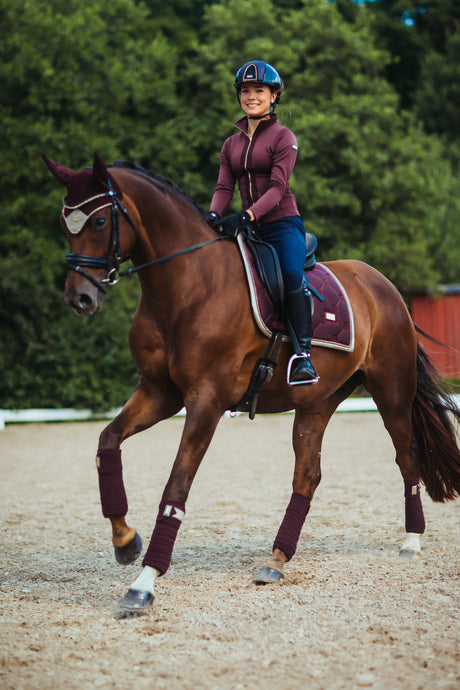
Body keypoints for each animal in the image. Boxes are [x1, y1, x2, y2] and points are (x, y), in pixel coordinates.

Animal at [45, 156, 460, 612]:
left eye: (100, 221)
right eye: (66, 223)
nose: (79, 298)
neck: (187, 285)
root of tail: (382, 284)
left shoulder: (205, 401)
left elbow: (176, 487)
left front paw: (144, 583)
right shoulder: (159, 392)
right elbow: (107, 442)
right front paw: (124, 541)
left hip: (391, 392)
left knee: (408, 458)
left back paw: (411, 542)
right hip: (317, 401)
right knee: (307, 475)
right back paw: (276, 561)